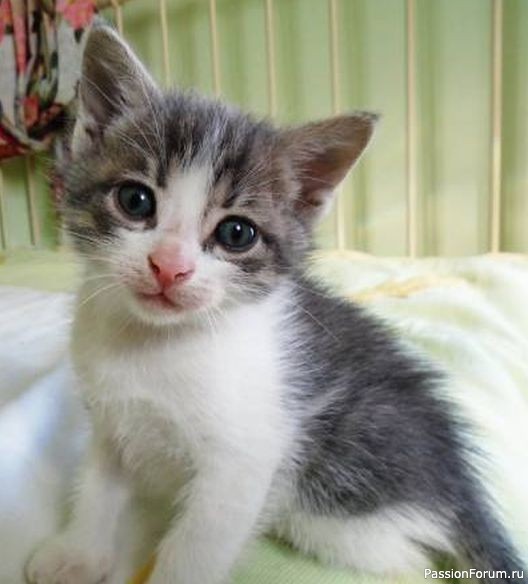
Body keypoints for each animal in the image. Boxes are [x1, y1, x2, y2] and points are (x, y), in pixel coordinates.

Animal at [26, 23, 526, 584]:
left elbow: (195, 546)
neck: (153, 344)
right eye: (135, 201)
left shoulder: (244, 461)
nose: (169, 266)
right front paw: (77, 553)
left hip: (334, 488)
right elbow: (97, 486)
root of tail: (458, 474)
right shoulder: (111, 421)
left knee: (402, 557)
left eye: (236, 233)